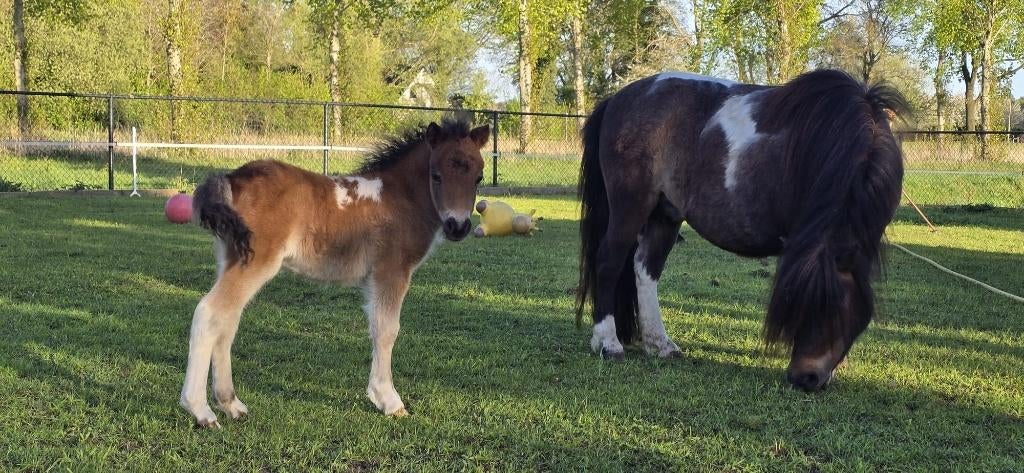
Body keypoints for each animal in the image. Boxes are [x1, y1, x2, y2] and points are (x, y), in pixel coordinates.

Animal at [179, 117, 489, 427]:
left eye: (479, 178)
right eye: (436, 176)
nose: (458, 226)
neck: (400, 198)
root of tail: (231, 178)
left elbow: (377, 327)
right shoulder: (391, 271)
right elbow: (387, 330)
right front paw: (388, 400)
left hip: (231, 258)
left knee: (228, 320)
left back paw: (230, 403)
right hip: (256, 263)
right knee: (209, 312)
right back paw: (200, 410)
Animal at [575, 69, 909, 391]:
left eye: (837, 308)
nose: (806, 378)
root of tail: (618, 100)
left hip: (664, 216)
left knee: (646, 271)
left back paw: (660, 345)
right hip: (630, 207)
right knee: (608, 263)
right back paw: (608, 344)